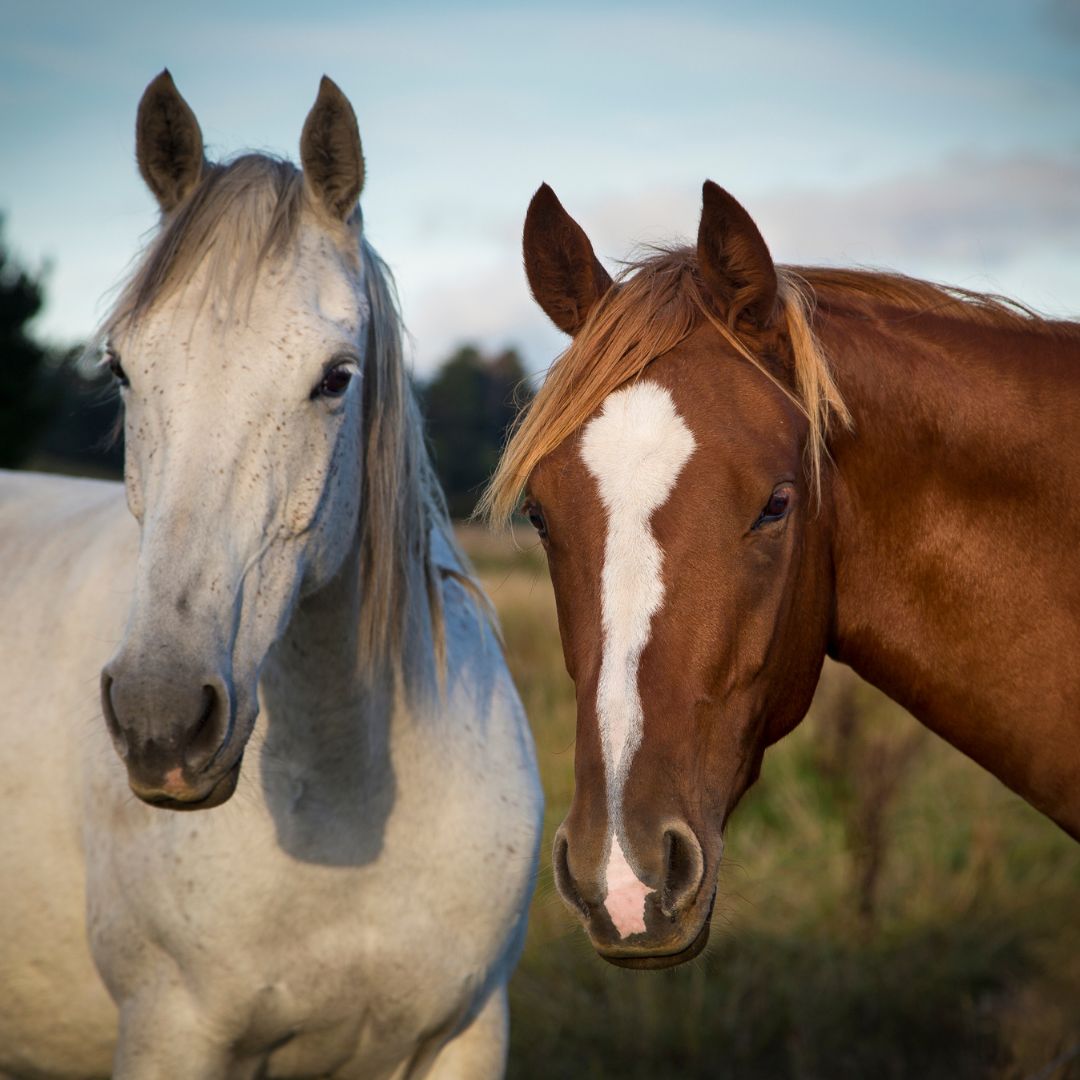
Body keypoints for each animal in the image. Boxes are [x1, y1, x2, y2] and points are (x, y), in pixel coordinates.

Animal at [0, 71, 544, 1075]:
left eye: (336, 377)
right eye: (121, 368)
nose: (161, 720)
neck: (348, 807)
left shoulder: (468, 1033)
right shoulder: (170, 1035)